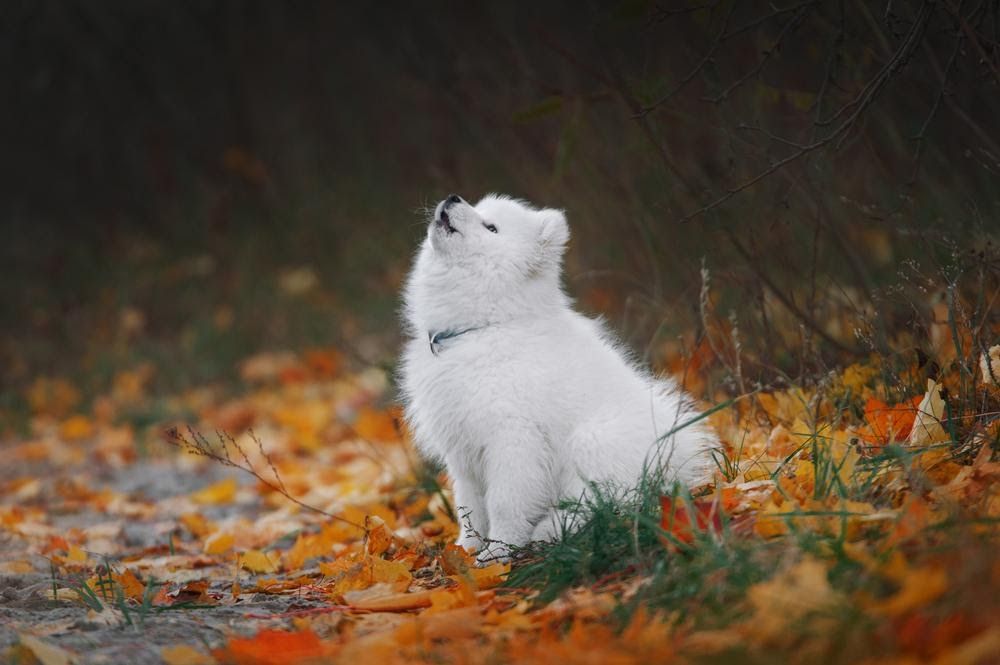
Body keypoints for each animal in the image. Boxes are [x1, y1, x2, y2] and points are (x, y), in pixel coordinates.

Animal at [400, 194, 717, 562]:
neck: (485, 326)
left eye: (491, 227)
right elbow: (469, 506)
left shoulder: (514, 438)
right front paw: (465, 549)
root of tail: (678, 463)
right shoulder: (462, 448)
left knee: (609, 503)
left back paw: (550, 530)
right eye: (479, 207)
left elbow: (504, 502)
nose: (453, 198)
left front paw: (497, 553)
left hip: (592, 440)